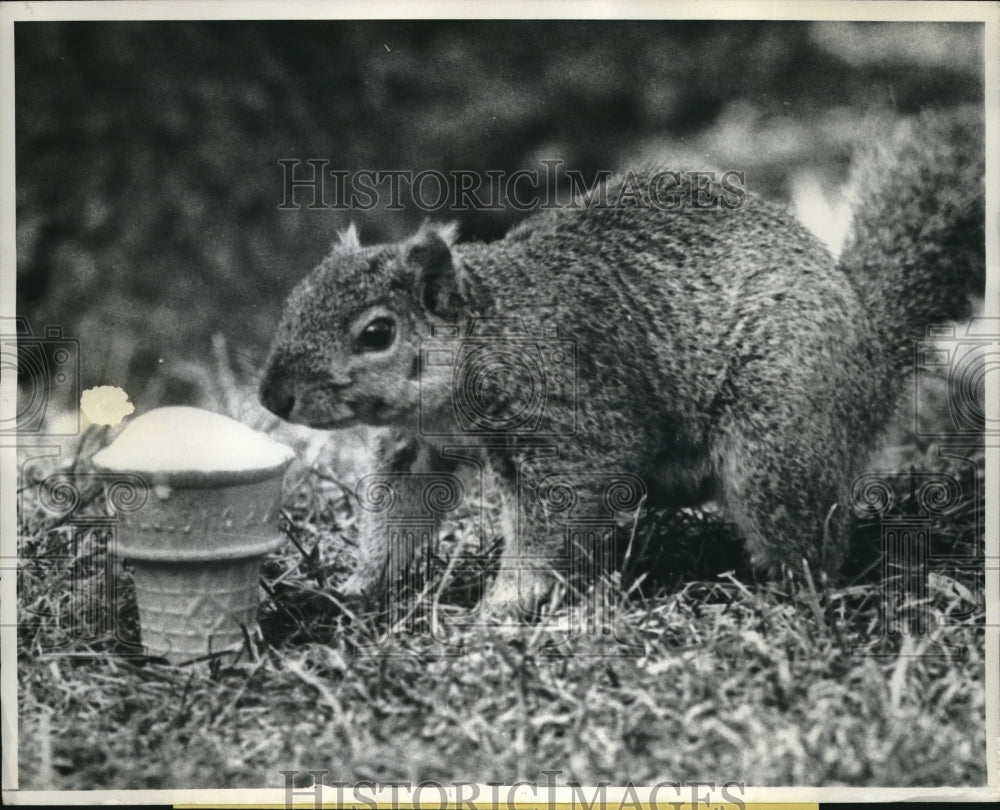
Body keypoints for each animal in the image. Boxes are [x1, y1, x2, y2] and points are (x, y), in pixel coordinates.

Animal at [258, 105, 984, 612]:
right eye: (295, 300)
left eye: (377, 332)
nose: (271, 396)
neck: (487, 335)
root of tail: (871, 349)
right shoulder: (417, 445)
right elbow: (398, 512)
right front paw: (359, 587)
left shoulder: (568, 426)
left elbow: (550, 519)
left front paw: (504, 604)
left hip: (774, 436)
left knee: (809, 540)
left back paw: (784, 591)